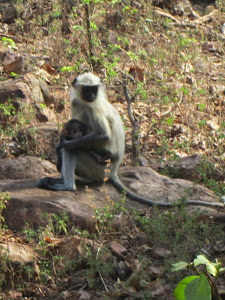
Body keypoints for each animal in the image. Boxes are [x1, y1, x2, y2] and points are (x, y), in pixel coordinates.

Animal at [38, 73, 223, 209]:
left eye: (94, 89)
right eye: (87, 89)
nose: (91, 95)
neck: (86, 102)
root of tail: (113, 171)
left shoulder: (94, 108)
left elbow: (102, 136)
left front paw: (63, 144)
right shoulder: (77, 103)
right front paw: (58, 147)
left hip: (98, 169)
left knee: (73, 151)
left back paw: (67, 185)